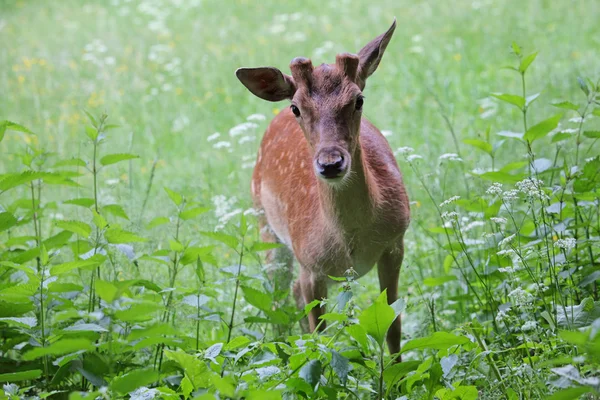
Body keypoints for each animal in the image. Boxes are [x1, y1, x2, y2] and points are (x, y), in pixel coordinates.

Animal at [233, 20, 408, 354]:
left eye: (358, 100)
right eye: (296, 108)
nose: (330, 163)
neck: (351, 242)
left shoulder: (396, 243)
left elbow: (393, 327)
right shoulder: (311, 265)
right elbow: (321, 339)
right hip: (266, 226)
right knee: (277, 300)